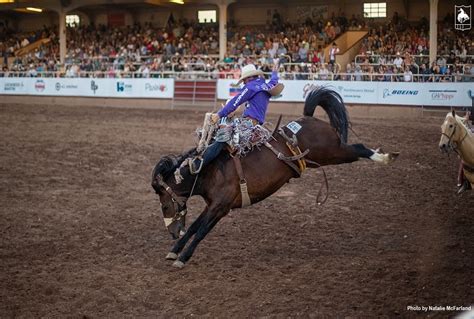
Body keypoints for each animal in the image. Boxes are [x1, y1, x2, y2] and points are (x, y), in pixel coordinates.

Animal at [152, 87, 400, 268]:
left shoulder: (221, 208)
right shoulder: (212, 205)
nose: (172, 233)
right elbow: (194, 227)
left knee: (359, 148)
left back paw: (386, 157)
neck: (208, 170)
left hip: (334, 152)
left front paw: (182, 258)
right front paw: (174, 251)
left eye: (164, 206)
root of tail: (307, 119)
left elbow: (201, 231)